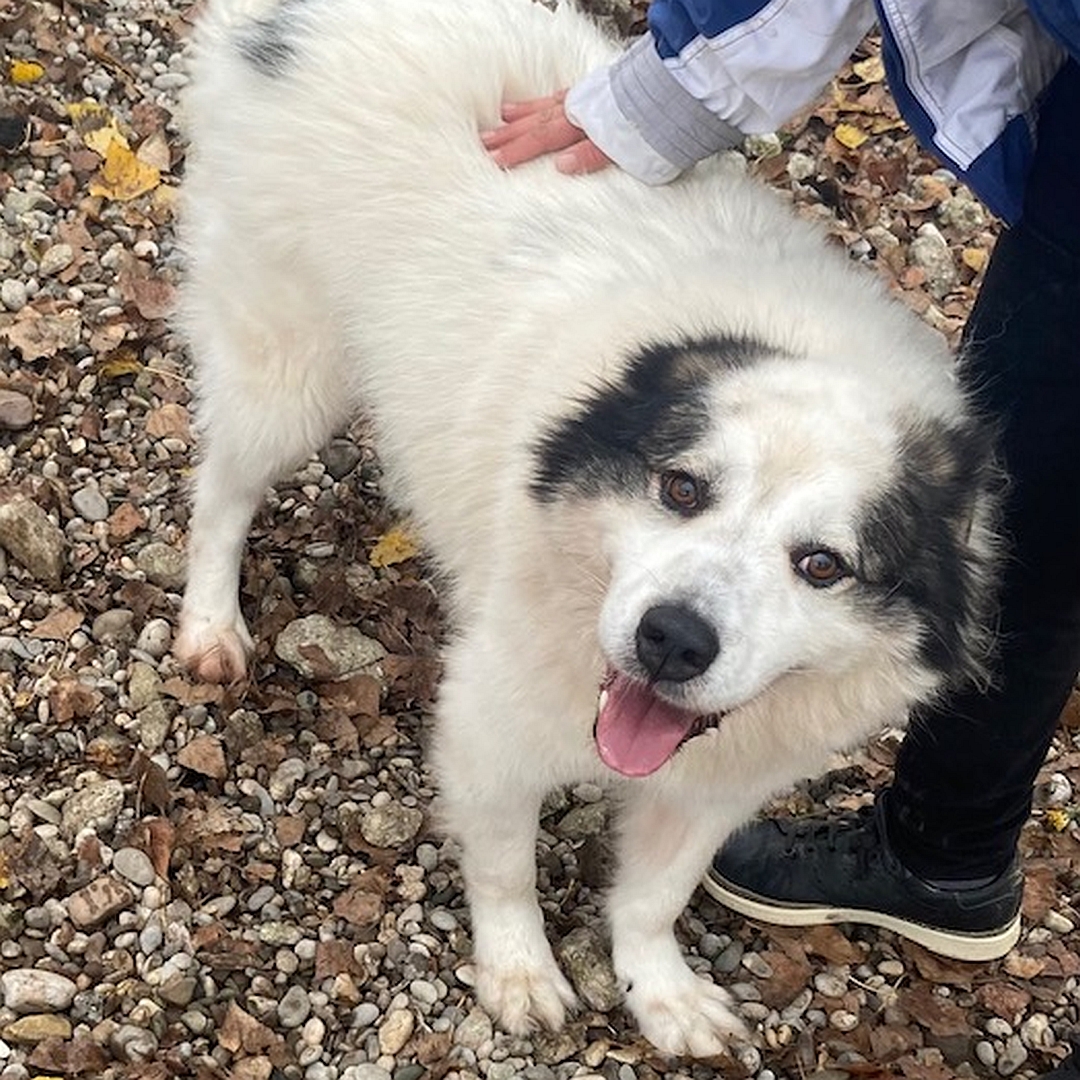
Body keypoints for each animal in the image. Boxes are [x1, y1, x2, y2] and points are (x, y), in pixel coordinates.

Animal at [179, 0, 1002, 1058]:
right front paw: (520, 974)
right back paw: (210, 627)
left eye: (823, 565)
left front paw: (663, 994)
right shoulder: (492, 715)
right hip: (289, 366)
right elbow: (504, 870)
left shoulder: (717, 779)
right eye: (681, 488)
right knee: (221, 490)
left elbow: (654, 898)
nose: (673, 640)